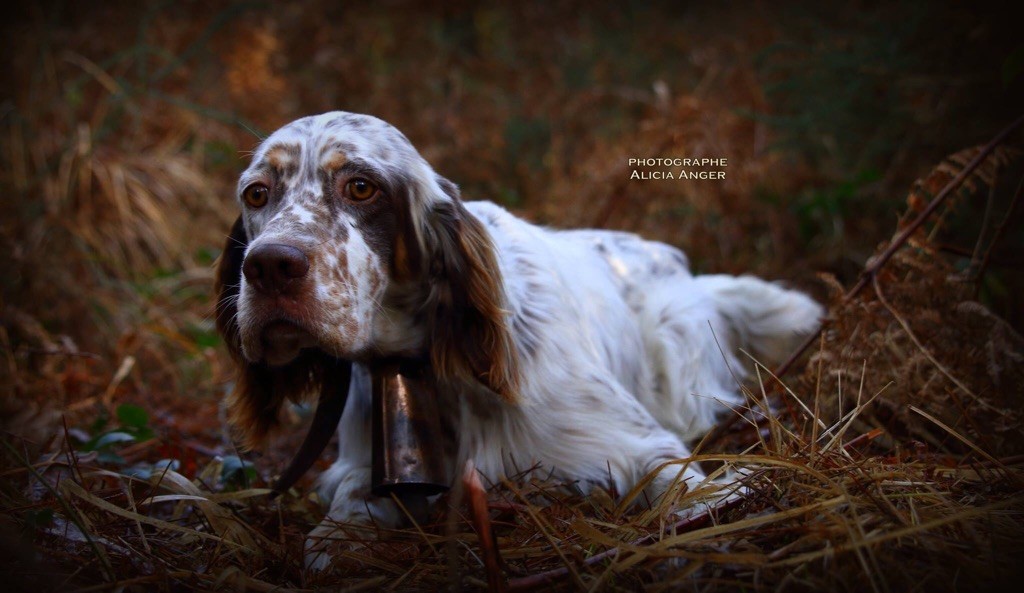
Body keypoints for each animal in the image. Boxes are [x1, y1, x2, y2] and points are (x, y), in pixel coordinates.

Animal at [214, 111, 823, 569]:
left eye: (360, 187)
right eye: (257, 193)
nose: (267, 266)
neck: (434, 363)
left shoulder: (638, 445)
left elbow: (683, 494)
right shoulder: (368, 460)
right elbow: (344, 511)